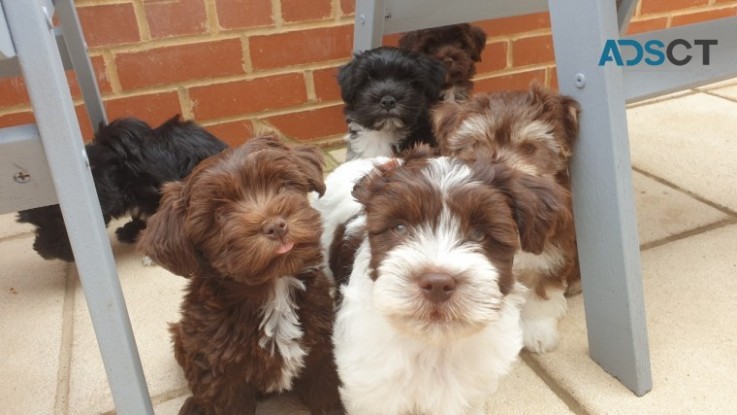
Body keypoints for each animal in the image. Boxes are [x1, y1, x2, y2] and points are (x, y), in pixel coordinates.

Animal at [137, 135, 342, 414]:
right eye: (220, 214)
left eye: (281, 185)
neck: (273, 287)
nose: (276, 226)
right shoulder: (221, 375)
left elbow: (327, 391)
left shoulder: (322, 347)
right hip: (183, 337)